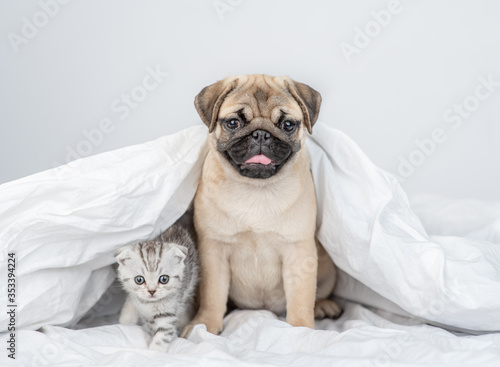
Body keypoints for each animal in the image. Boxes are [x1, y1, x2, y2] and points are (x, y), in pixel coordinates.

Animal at [114, 208, 198, 352]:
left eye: (164, 279)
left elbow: (163, 334)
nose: (152, 291)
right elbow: (132, 301)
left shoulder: (169, 310)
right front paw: (126, 320)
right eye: (139, 280)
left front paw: (154, 352)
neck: (149, 305)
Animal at [182, 75, 342, 340]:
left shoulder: (299, 253)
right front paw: (204, 324)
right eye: (233, 123)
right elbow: (212, 295)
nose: (260, 135)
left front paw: (302, 330)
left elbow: (301, 299)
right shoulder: (213, 251)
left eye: (288, 125)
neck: (256, 188)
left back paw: (323, 305)